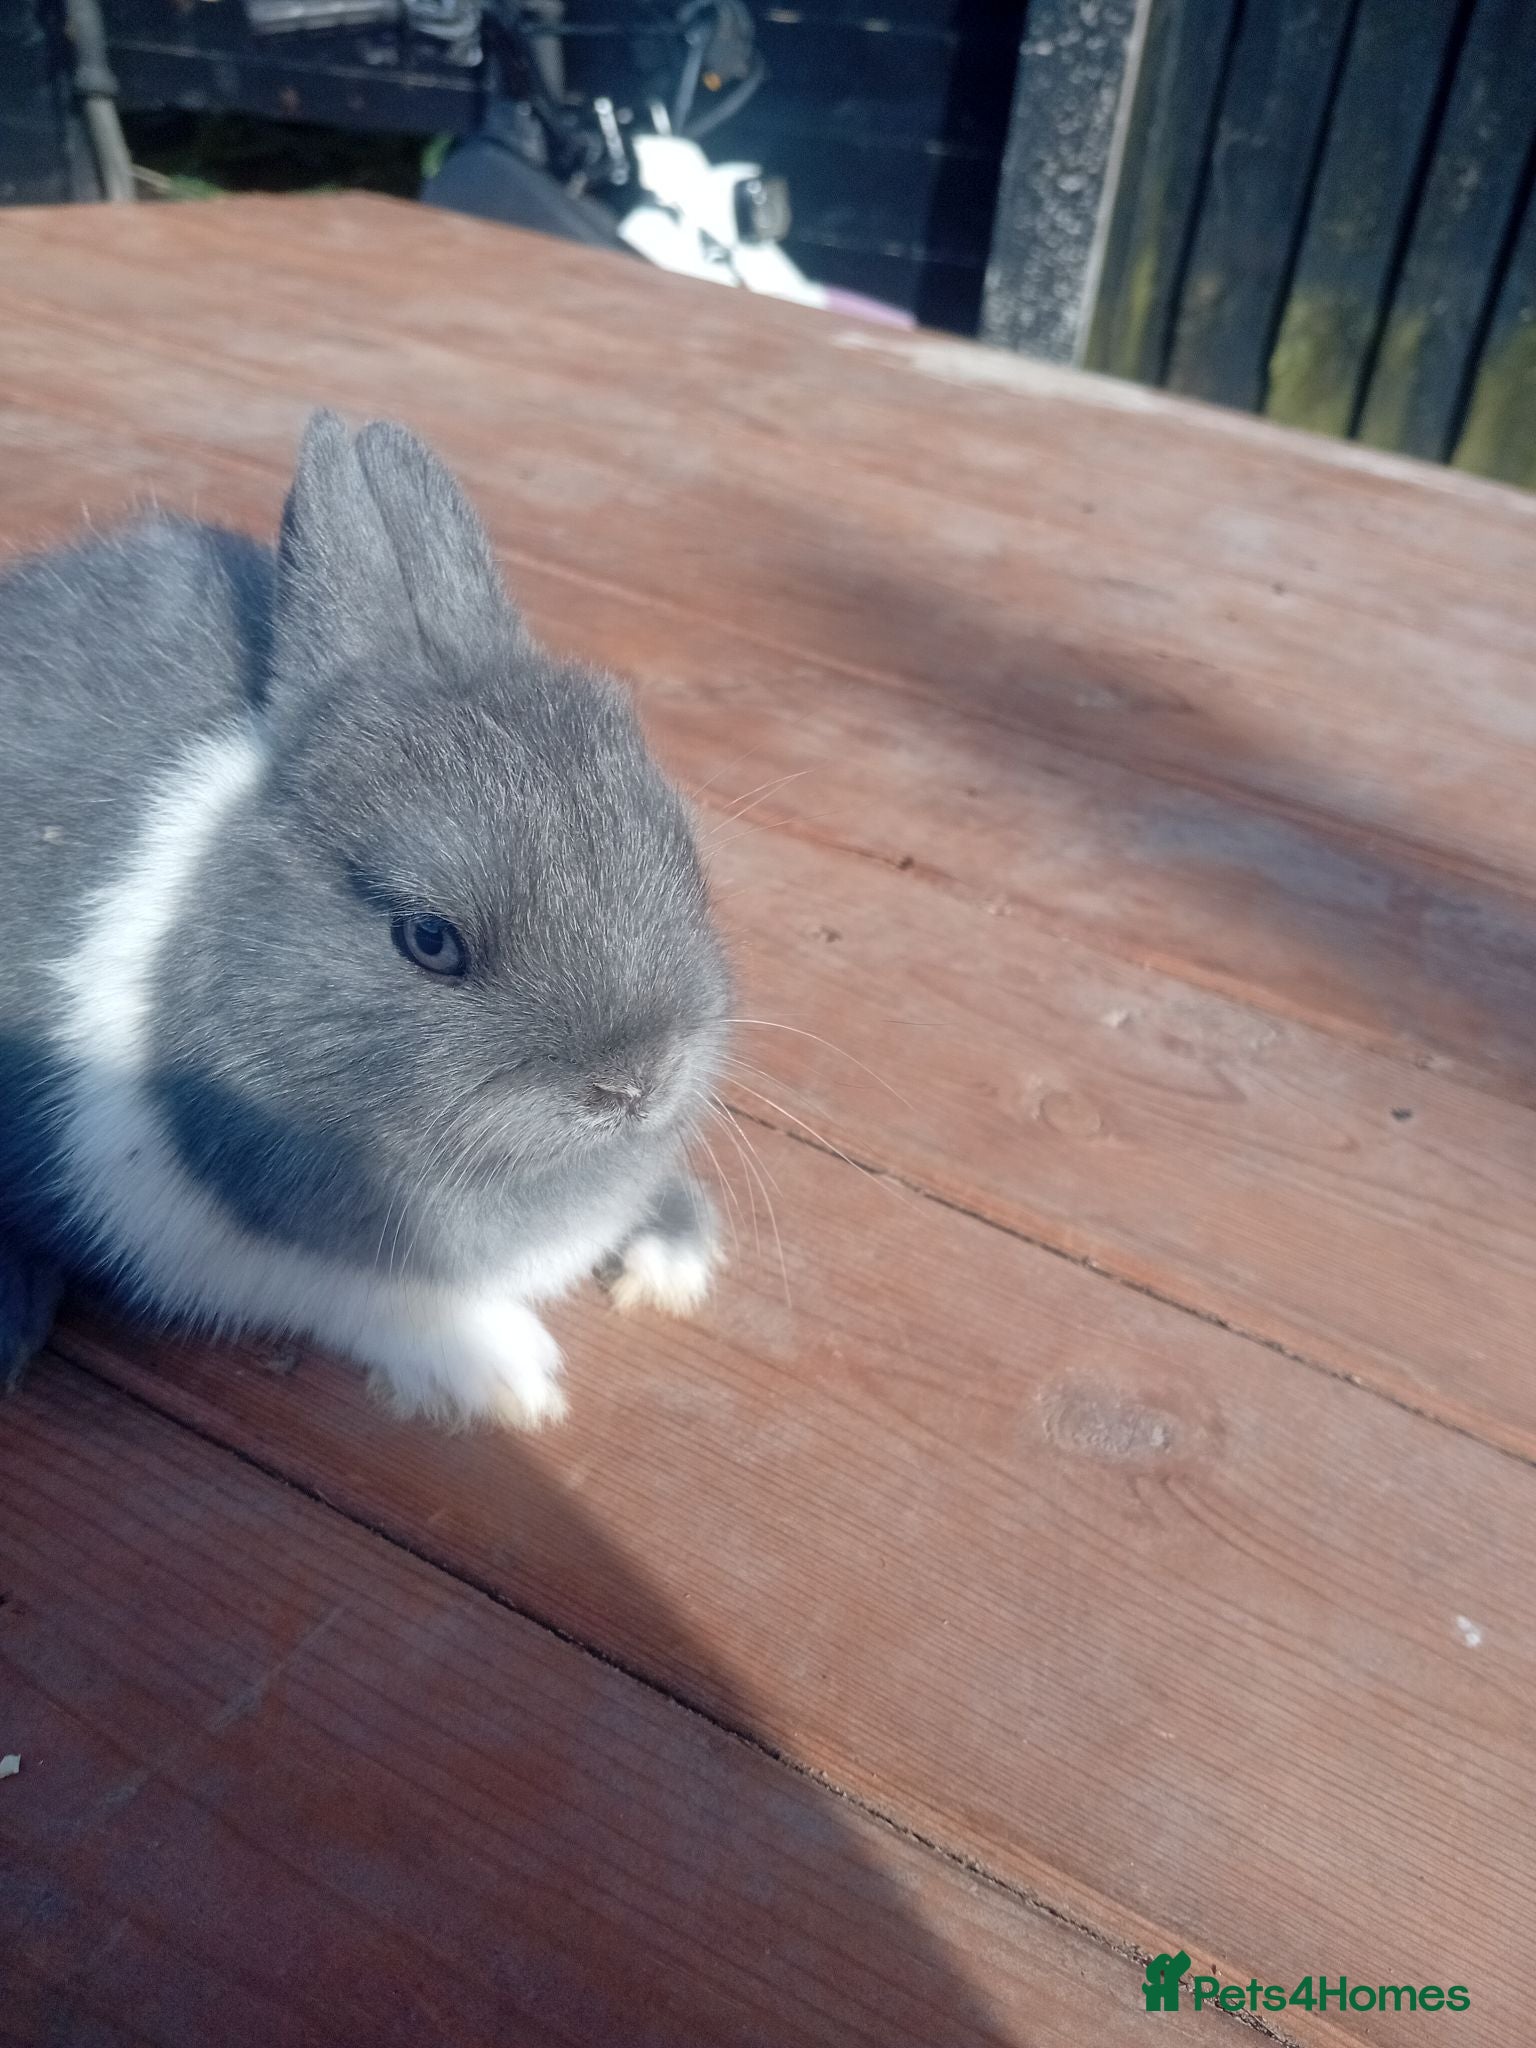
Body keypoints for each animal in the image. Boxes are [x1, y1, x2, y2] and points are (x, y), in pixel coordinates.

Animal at [0, 410, 729, 1428]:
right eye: (428, 940)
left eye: (677, 844)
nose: (634, 1084)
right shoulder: (220, 1244)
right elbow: (373, 1295)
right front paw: (512, 1377)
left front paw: (672, 1259)